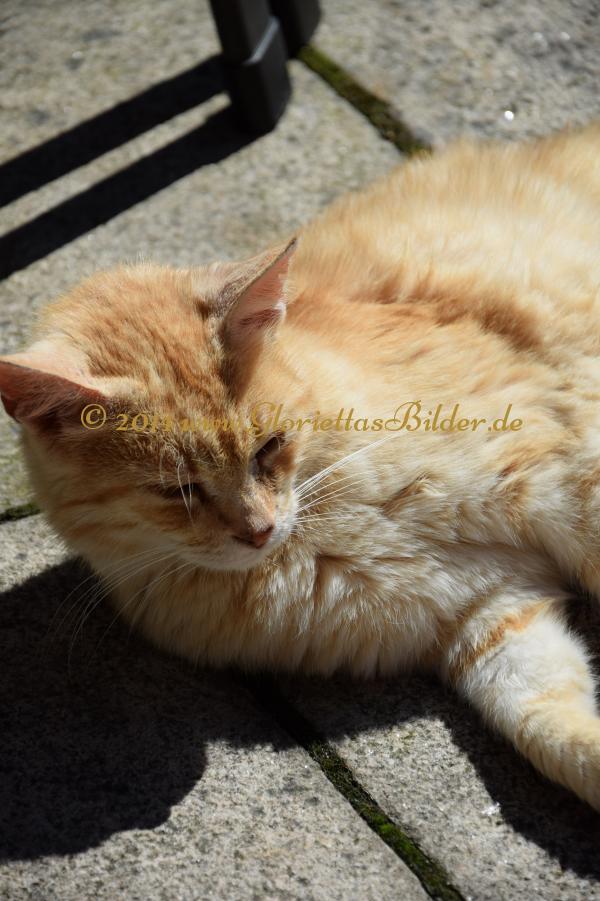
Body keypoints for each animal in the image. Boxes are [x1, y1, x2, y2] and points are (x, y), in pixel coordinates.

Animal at [1, 124, 600, 811]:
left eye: (268, 447)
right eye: (177, 491)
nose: (258, 531)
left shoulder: (563, 482)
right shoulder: (488, 611)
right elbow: (548, 725)